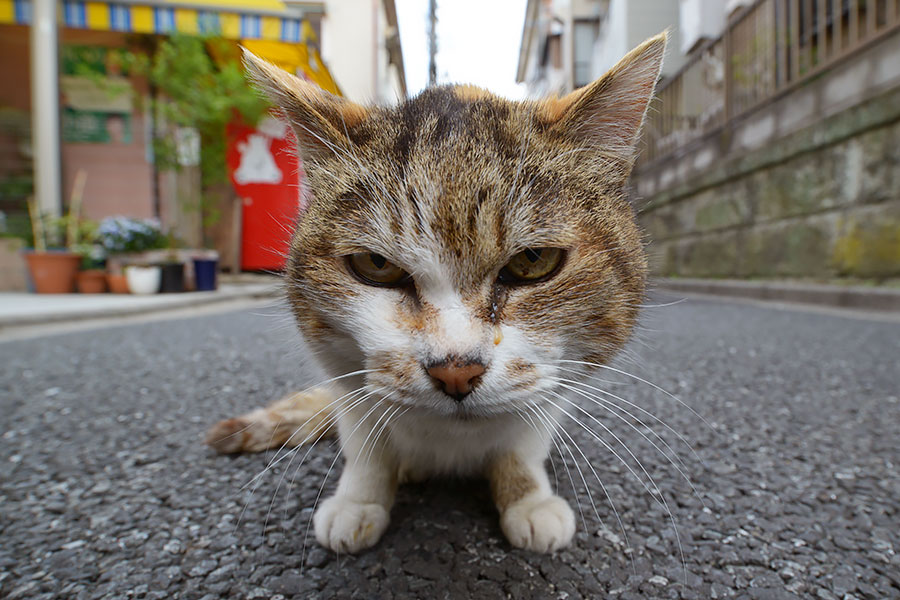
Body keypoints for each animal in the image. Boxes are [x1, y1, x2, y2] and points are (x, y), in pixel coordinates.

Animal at [207, 32, 664, 556]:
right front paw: (359, 500)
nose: (456, 371)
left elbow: (521, 446)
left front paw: (527, 499)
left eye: (533, 261)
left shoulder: (556, 385)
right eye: (377, 265)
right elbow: (367, 446)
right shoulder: (346, 379)